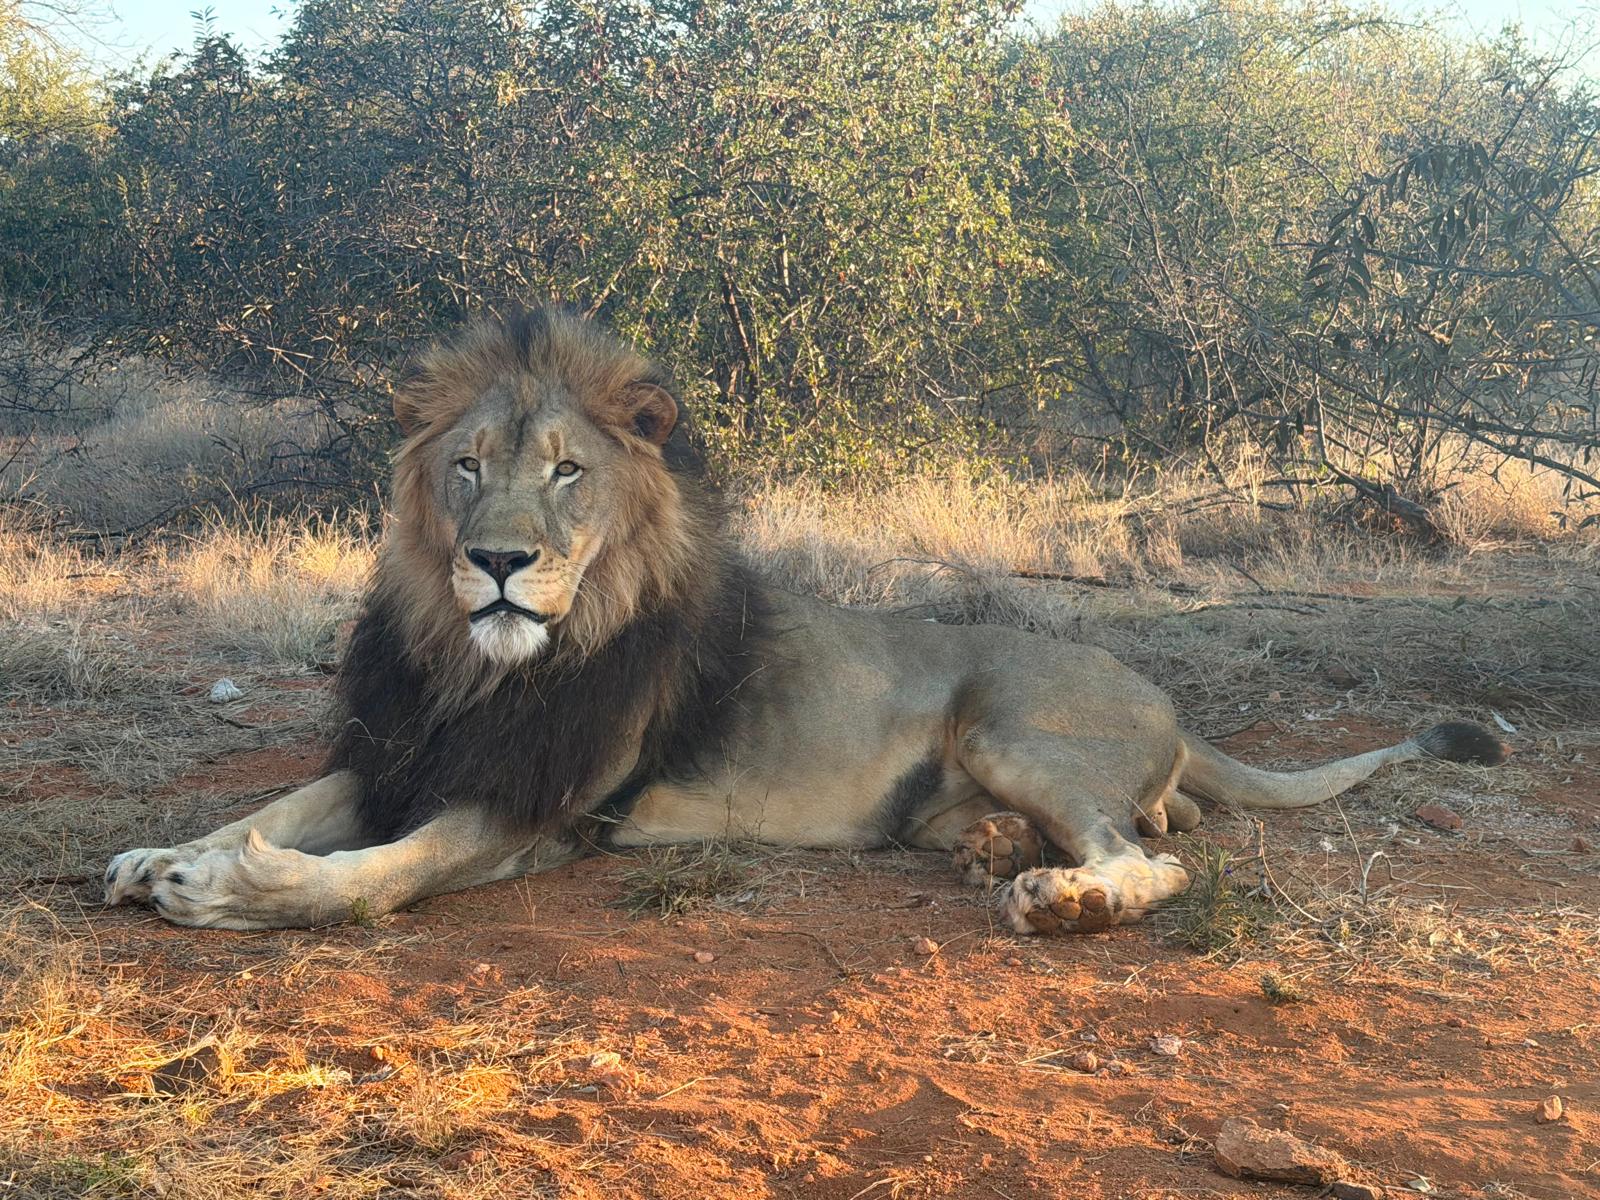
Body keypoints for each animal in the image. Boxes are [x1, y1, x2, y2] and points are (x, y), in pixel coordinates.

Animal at [103, 308, 1507, 933]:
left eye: (567, 473)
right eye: (465, 467)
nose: (497, 561)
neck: (477, 669)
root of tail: (1169, 699)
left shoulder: (536, 808)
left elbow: (374, 873)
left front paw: (235, 885)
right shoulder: (401, 753)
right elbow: (283, 802)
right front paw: (162, 852)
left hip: (1012, 726)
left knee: (1150, 857)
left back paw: (1059, 896)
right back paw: (991, 848)